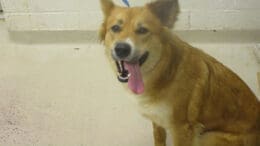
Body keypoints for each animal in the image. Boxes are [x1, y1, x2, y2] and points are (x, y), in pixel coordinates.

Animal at [99, 0, 260, 145]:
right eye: (115, 28)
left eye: (143, 30)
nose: (121, 49)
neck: (164, 71)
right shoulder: (157, 118)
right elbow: (158, 138)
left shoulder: (181, 129)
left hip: (207, 136)